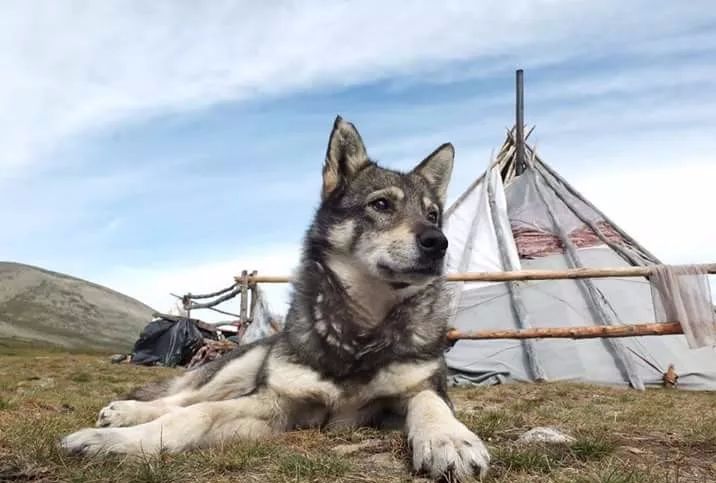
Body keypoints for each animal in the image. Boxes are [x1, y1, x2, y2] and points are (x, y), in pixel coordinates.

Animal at [61, 115, 490, 482]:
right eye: (381, 204)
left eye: (433, 215)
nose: (438, 243)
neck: (359, 332)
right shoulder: (274, 403)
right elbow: (193, 415)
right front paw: (116, 442)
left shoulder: (417, 392)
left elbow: (429, 403)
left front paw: (450, 439)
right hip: (241, 367)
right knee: (182, 398)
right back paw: (125, 413)